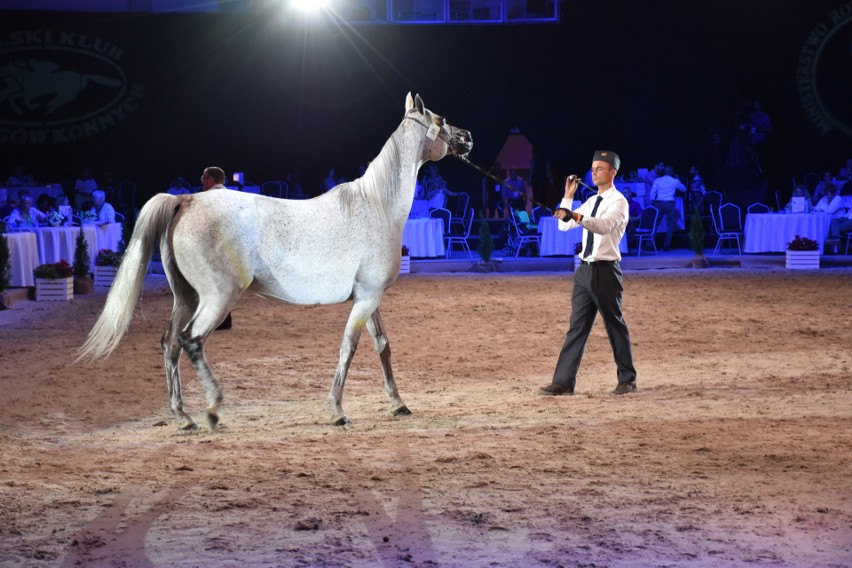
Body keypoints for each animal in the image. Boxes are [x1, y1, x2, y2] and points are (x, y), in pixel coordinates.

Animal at [76, 93, 472, 428]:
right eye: (441, 119)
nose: (467, 137)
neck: (375, 206)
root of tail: (185, 200)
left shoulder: (368, 298)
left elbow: (382, 347)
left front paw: (398, 404)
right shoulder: (367, 299)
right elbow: (349, 348)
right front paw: (337, 411)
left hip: (186, 297)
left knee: (169, 343)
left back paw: (183, 417)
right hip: (217, 298)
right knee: (191, 340)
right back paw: (213, 410)